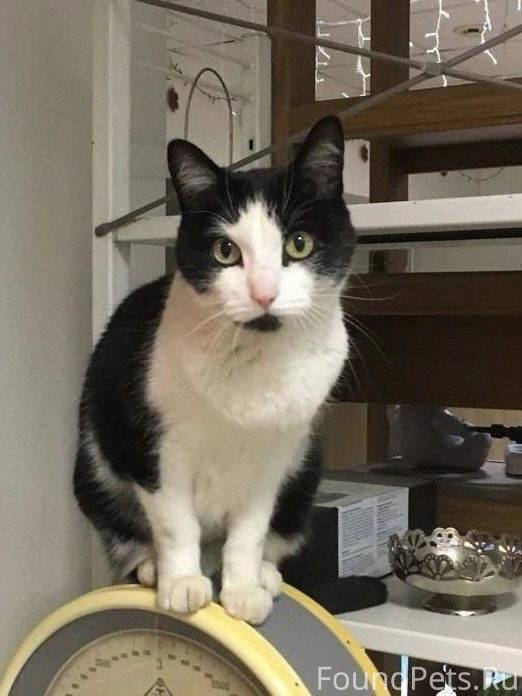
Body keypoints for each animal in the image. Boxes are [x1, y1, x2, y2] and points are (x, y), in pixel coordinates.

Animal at [74, 115, 355, 625]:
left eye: (299, 244)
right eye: (225, 251)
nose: (264, 294)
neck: (253, 361)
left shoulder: (273, 459)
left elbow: (249, 532)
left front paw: (241, 590)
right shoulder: (154, 448)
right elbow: (175, 522)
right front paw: (182, 583)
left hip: (305, 470)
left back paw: (263, 575)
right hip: (93, 466)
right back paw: (154, 568)